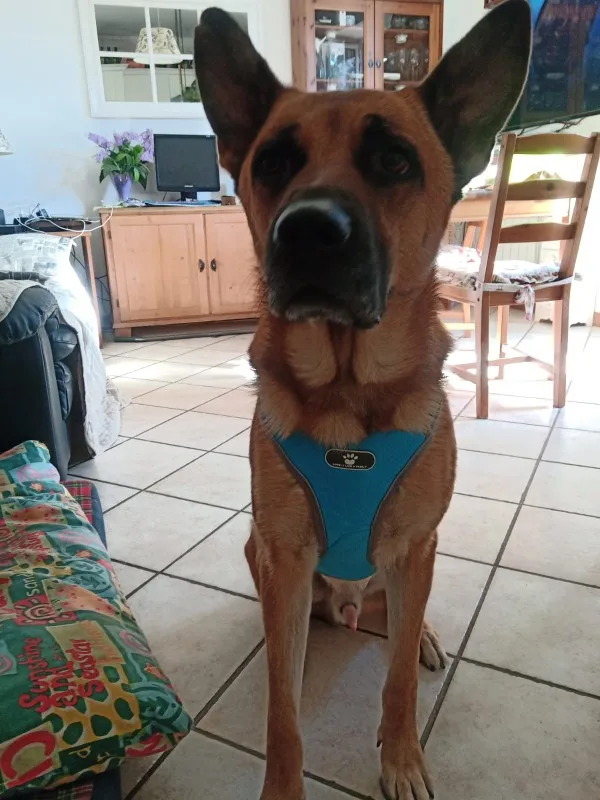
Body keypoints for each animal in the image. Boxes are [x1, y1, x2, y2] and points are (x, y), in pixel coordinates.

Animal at [195, 3, 531, 798]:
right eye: (273, 162)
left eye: (394, 161)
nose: (307, 231)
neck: (349, 394)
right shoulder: (285, 558)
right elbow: (282, 716)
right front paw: (282, 784)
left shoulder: (414, 547)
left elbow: (398, 681)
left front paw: (402, 757)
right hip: (262, 553)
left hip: (413, 563)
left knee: (404, 625)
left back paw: (426, 635)